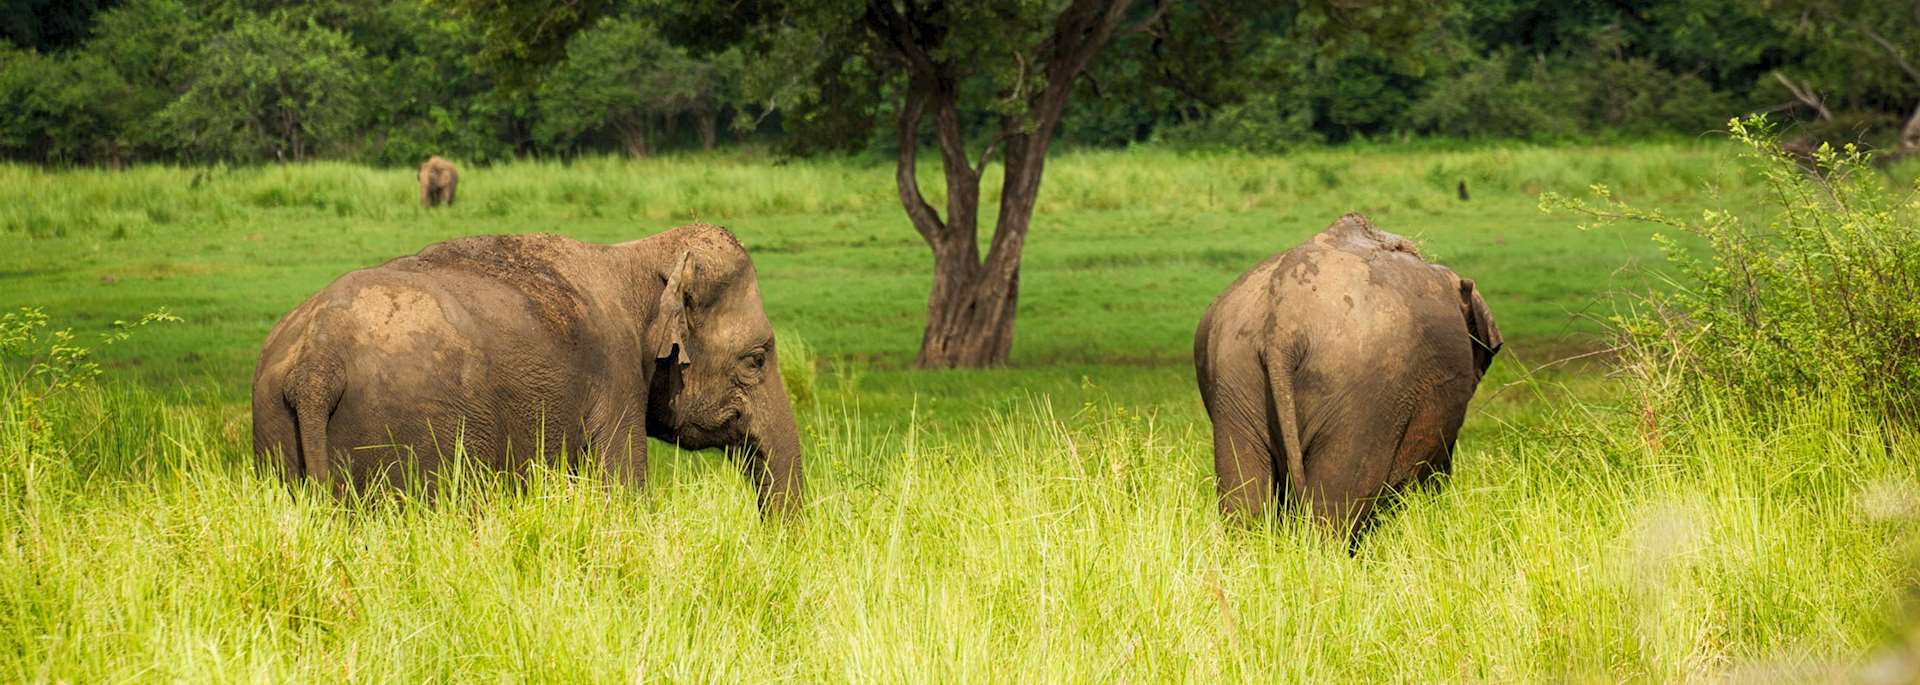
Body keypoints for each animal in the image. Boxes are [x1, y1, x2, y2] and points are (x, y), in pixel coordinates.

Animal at [251, 224, 803, 516]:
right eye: (756, 359)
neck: (637, 254)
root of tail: (317, 364)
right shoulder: (615, 380)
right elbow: (622, 492)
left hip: (277, 429)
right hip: (415, 435)